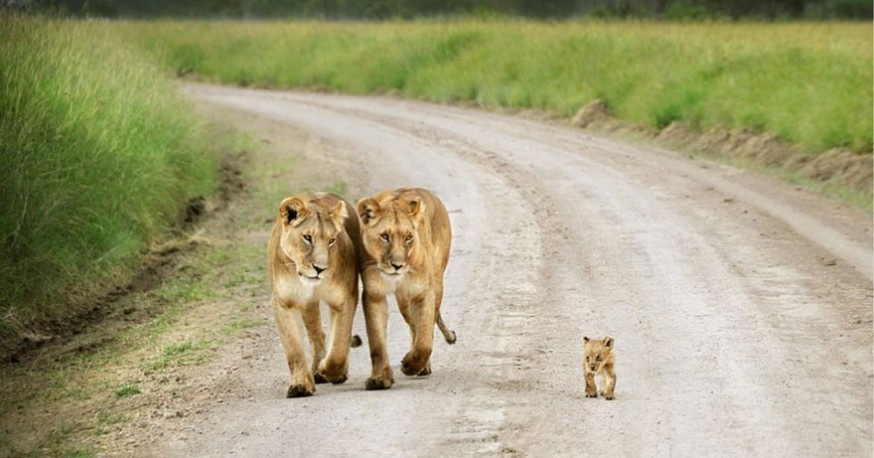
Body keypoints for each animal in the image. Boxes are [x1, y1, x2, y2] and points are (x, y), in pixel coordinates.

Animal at [268, 192, 360, 398]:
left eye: (332, 240)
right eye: (307, 237)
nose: (320, 269)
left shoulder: (345, 298)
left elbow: (339, 344)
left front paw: (331, 371)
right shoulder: (283, 303)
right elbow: (294, 349)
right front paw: (300, 385)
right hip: (307, 305)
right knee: (317, 334)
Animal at [358, 188, 460, 388]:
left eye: (408, 237)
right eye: (384, 236)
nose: (397, 265)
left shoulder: (423, 292)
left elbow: (424, 340)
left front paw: (410, 365)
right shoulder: (374, 294)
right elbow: (377, 340)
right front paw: (379, 379)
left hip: (436, 283)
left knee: (428, 325)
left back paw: (423, 366)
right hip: (404, 299)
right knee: (413, 326)